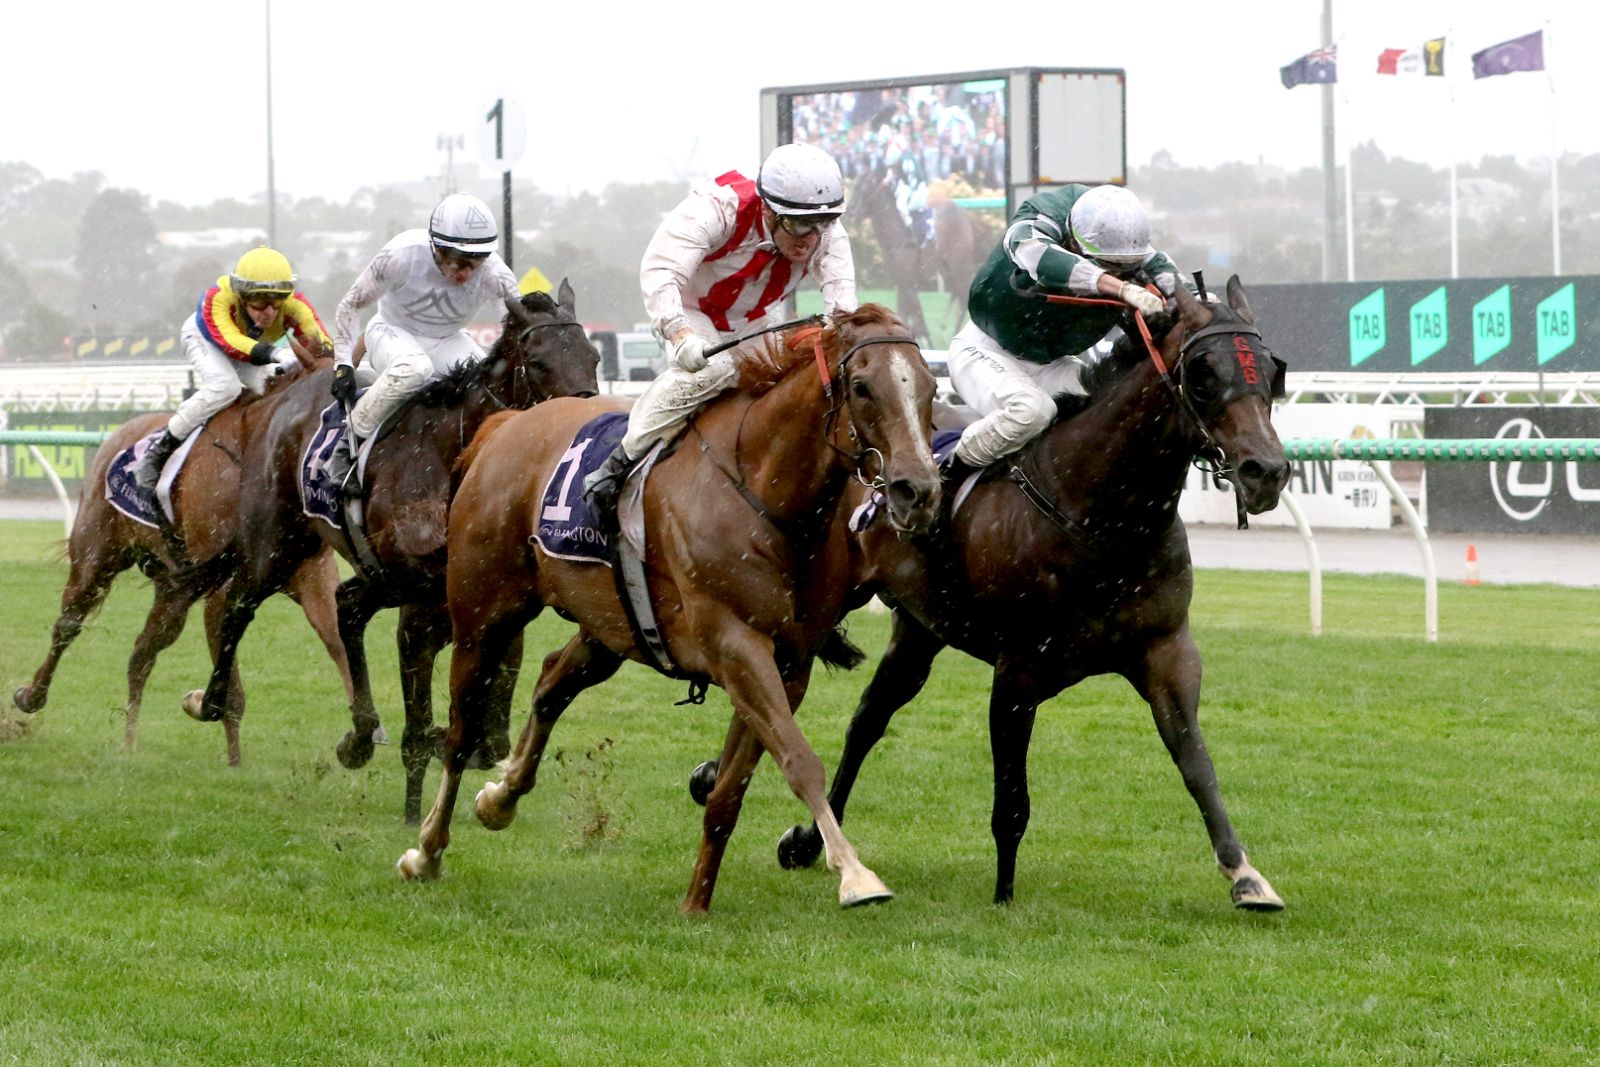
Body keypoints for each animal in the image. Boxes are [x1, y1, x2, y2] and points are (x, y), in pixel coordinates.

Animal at [12, 366, 353, 767]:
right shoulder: (224, 589)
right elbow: (229, 689)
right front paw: (230, 757)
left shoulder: (313, 574)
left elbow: (337, 642)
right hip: (96, 554)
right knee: (68, 624)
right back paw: (32, 696)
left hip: (171, 587)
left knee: (142, 651)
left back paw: (129, 742)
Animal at [188, 284, 600, 822]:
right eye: (539, 360)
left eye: (594, 356)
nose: (582, 429)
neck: (455, 458)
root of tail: (285, 393)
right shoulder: (420, 612)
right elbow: (421, 721)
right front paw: (413, 809)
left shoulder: (488, 609)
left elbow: (491, 726)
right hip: (277, 541)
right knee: (239, 602)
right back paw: (212, 701)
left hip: (365, 571)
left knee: (345, 607)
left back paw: (360, 736)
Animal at [398, 304, 941, 913]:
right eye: (863, 386)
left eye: (930, 387)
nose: (918, 491)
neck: (766, 493)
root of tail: (503, 426)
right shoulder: (736, 645)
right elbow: (800, 762)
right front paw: (855, 874)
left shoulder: (787, 664)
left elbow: (732, 790)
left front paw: (696, 902)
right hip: (482, 617)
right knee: (461, 731)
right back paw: (427, 850)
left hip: (609, 626)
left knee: (551, 682)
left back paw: (500, 797)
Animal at [775, 277, 1294, 910]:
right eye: (1202, 372)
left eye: (1271, 369)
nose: (1266, 471)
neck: (1103, 519)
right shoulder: (1017, 672)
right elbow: (1012, 799)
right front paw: (1003, 894)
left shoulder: (1167, 653)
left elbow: (1197, 764)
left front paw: (1246, 875)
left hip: (920, 632)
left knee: (869, 717)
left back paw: (809, 842)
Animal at [849, 166, 991, 344]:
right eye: (854, 186)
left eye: (861, 188)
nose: (850, 212)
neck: (897, 231)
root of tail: (966, 216)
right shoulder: (902, 281)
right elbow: (905, 312)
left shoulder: (908, 280)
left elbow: (917, 313)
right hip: (948, 269)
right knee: (958, 295)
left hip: (958, 264)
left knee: (962, 294)